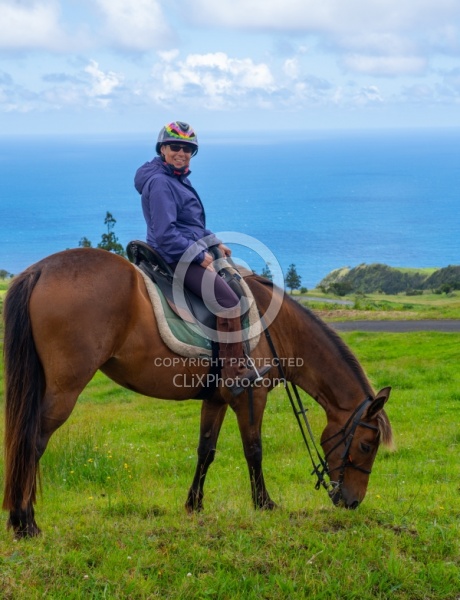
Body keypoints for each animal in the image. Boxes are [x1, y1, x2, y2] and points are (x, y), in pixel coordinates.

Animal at [2, 248, 392, 540]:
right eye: (367, 446)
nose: (352, 502)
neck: (276, 328)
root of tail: (41, 269)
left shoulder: (216, 399)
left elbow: (206, 451)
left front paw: (194, 505)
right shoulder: (251, 397)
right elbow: (254, 450)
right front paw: (264, 503)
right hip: (64, 389)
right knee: (32, 441)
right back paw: (25, 521)